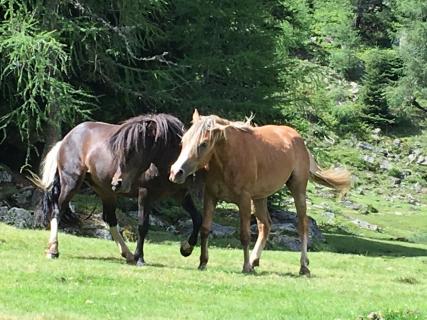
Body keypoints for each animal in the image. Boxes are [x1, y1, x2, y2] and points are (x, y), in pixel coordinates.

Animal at [31, 114, 202, 264]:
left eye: (135, 150)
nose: (117, 182)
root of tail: (65, 139)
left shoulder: (181, 194)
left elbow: (197, 218)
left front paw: (186, 249)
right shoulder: (144, 194)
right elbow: (143, 226)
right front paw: (140, 257)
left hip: (106, 192)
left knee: (110, 219)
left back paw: (127, 254)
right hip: (71, 184)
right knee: (57, 210)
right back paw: (53, 250)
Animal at [170, 110, 352, 276]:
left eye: (204, 144)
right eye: (183, 140)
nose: (176, 172)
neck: (229, 159)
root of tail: (299, 140)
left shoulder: (243, 200)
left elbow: (244, 235)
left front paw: (245, 267)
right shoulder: (210, 196)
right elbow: (205, 228)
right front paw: (203, 262)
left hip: (297, 190)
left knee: (302, 226)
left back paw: (303, 266)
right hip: (260, 197)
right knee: (265, 225)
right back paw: (254, 260)